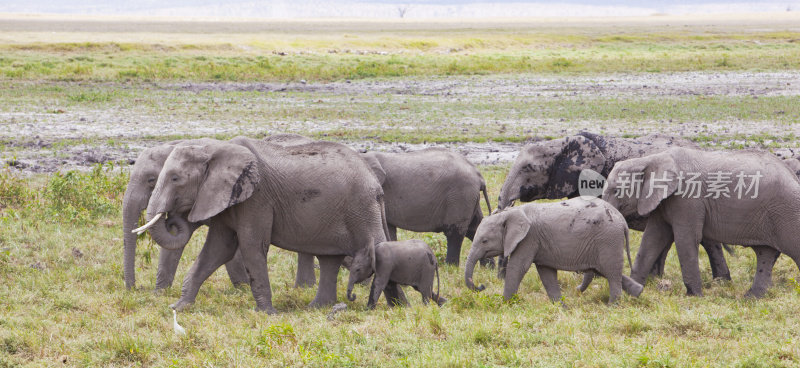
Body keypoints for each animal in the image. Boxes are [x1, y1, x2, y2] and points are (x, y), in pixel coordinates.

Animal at [136, 137, 396, 312]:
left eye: (175, 179)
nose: (173, 219)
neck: (216, 148)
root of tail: (376, 184)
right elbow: (218, 250)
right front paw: (178, 307)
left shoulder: (256, 199)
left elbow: (251, 247)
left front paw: (267, 313)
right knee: (329, 260)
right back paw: (317, 308)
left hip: (362, 208)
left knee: (380, 251)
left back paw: (394, 306)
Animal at [360, 148, 490, 266]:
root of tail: (479, 176)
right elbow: (389, 228)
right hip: (469, 198)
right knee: (475, 228)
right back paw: (487, 267)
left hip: (460, 196)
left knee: (455, 232)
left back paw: (450, 267)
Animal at [462, 198, 644, 304]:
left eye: (484, 241)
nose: (482, 286)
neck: (512, 212)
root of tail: (622, 221)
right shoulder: (538, 243)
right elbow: (546, 272)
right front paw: (560, 306)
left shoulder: (528, 239)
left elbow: (518, 267)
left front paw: (505, 304)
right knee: (605, 270)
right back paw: (638, 292)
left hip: (608, 240)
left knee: (611, 272)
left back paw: (613, 306)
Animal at [604, 146, 800, 296]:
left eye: (616, 190)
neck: (650, 159)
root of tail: (793, 176)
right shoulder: (662, 201)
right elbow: (652, 239)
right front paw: (635, 290)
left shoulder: (687, 198)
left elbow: (685, 239)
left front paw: (694, 295)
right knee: (765, 254)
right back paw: (752, 297)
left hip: (787, 211)